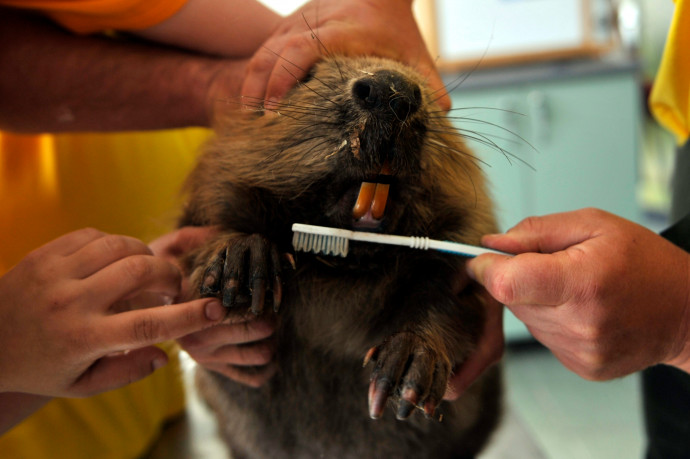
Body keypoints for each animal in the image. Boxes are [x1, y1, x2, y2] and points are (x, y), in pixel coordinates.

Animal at [177, 54, 500, 459]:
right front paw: (246, 260)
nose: (391, 88)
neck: (345, 266)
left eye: (425, 85)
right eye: (308, 75)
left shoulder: (459, 236)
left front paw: (406, 366)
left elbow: (453, 298)